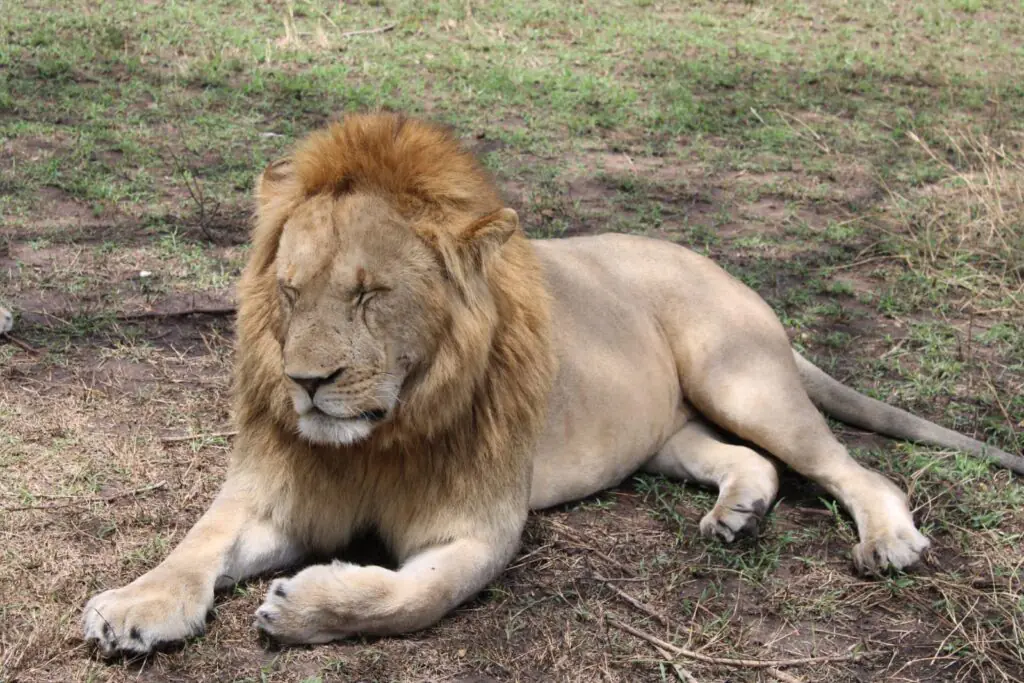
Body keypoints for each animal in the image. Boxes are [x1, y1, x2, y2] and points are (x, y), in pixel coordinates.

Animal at [82, 113, 1024, 656]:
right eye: (288, 290)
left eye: (369, 294)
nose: (308, 382)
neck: (383, 432)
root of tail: (722, 267)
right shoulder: (275, 489)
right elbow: (196, 543)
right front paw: (134, 605)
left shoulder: (477, 525)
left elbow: (412, 598)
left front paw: (303, 606)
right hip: (666, 434)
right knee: (748, 463)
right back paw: (738, 516)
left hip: (742, 378)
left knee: (854, 469)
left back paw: (889, 539)